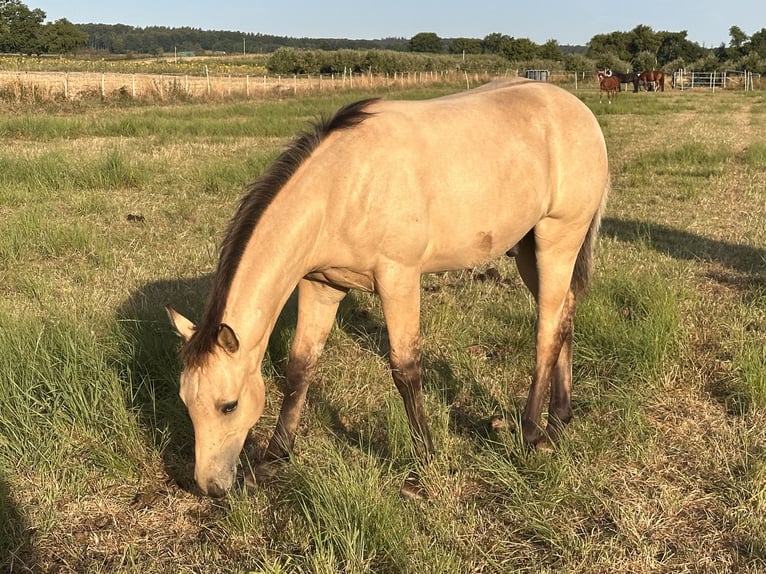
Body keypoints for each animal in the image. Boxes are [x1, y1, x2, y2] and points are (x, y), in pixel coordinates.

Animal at [167, 78, 610, 499]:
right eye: (186, 402)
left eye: (228, 406)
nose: (210, 486)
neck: (342, 186)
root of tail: (579, 111)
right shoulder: (321, 285)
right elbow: (300, 367)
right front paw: (275, 455)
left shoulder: (399, 278)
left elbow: (405, 369)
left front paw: (425, 460)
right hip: (528, 250)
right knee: (565, 314)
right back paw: (560, 417)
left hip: (558, 240)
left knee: (547, 330)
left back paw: (532, 431)